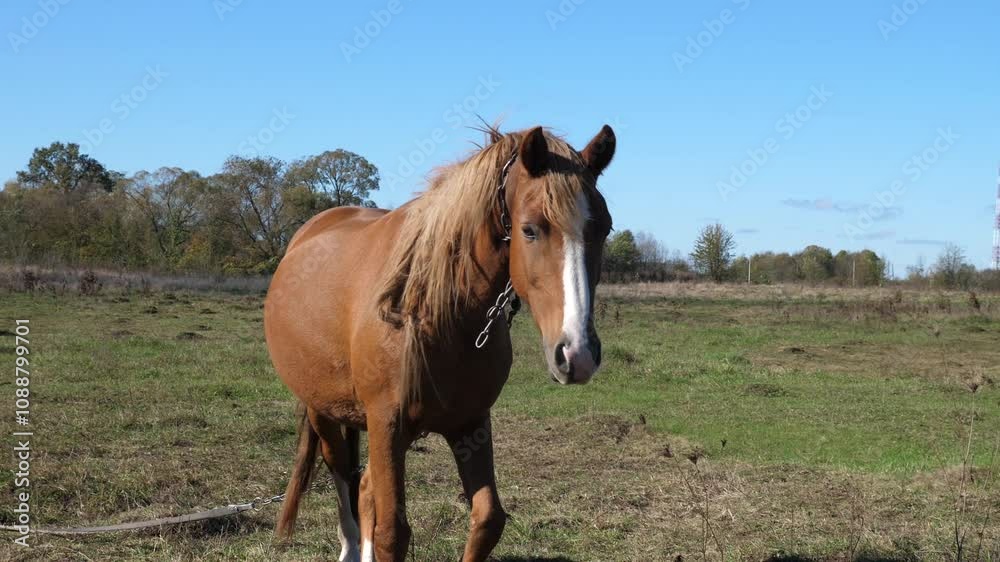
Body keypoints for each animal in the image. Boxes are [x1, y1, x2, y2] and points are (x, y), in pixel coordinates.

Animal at [264, 123, 616, 562]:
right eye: (530, 229)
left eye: (605, 228)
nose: (577, 353)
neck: (437, 312)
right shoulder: (387, 426)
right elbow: (391, 532)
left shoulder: (470, 424)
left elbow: (488, 519)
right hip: (321, 410)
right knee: (341, 472)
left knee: (363, 486)